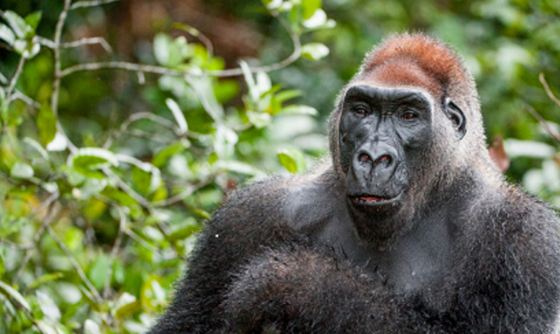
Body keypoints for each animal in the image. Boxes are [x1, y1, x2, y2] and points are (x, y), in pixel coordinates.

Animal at [149, 32, 560, 332]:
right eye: (362, 111)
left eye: (408, 115)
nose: (374, 157)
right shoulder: (249, 216)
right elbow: (186, 324)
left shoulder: (531, 242)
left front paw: (300, 284)